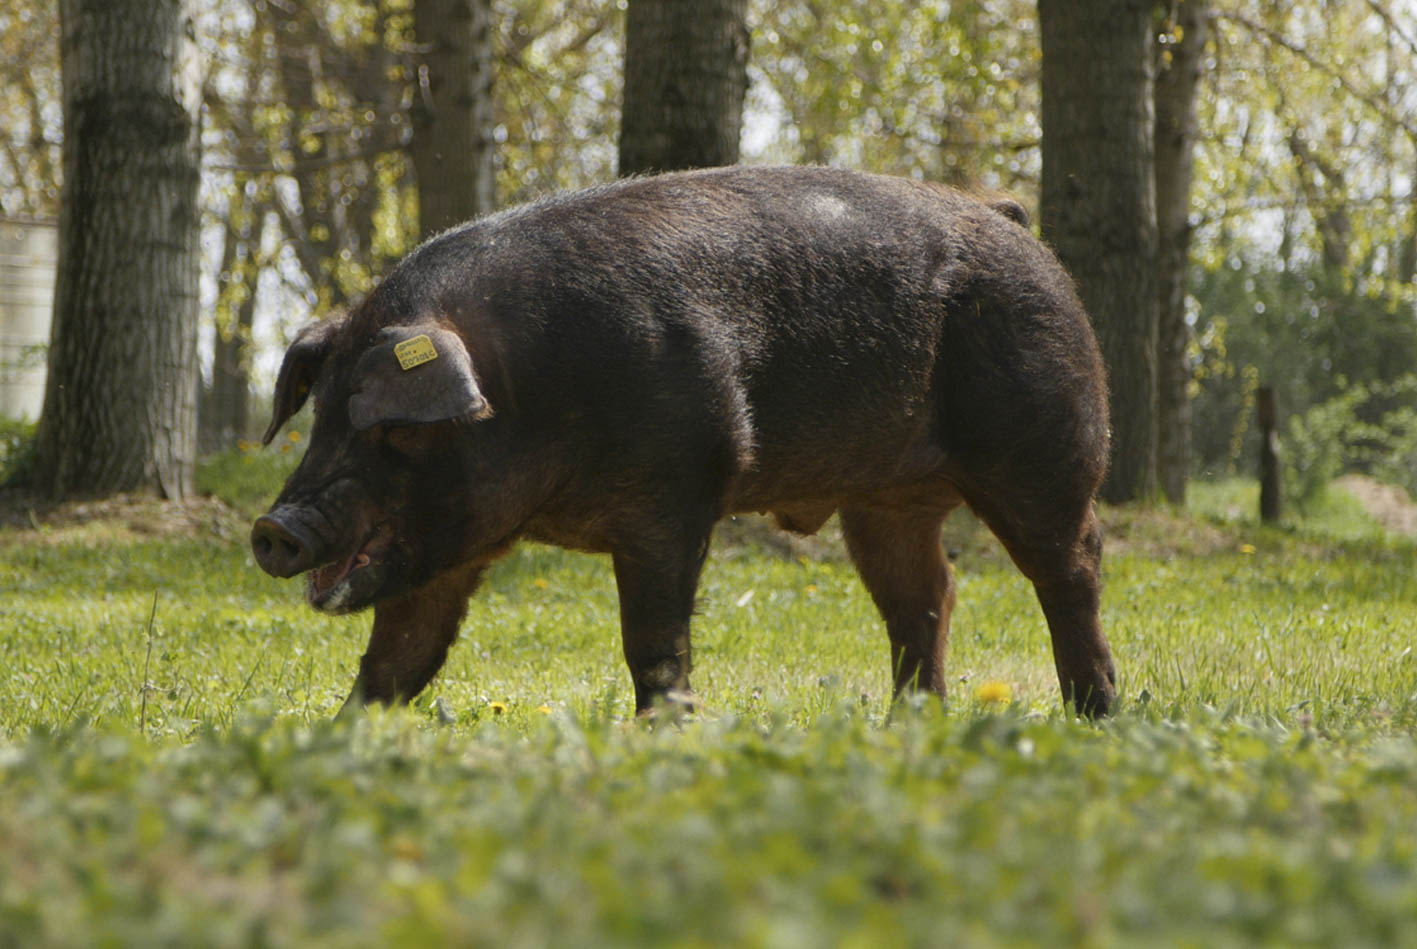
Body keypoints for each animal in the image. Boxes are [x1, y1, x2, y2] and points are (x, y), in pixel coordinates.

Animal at [252, 167, 1116, 722]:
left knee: (1069, 569)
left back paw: (1093, 714)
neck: (525, 382)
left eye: (395, 427)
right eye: (321, 416)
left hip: (1049, 439)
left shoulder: (673, 491)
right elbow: (399, 656)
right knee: (925, 595)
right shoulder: (447, 547)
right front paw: (340, 733)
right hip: (884, 500)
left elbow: (653, 639)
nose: (274, 527)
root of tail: (1006, 215)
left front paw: (664, 733)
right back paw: (910, 723)